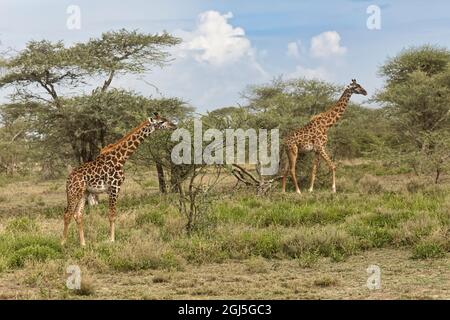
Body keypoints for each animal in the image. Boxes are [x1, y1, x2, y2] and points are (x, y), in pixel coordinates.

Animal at [61, 114, 176, 246]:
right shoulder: (115, 187)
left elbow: (111, 214)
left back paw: (83, 244)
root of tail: (68, 179)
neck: (121, 158)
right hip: (74, 192)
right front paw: (111, 240)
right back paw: (62, 243)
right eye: (162, 121)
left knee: (78, 215)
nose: (174, 126)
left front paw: (110, 239)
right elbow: (112, 215)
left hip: (84, 193)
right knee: (67, 214)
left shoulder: (112, 188)